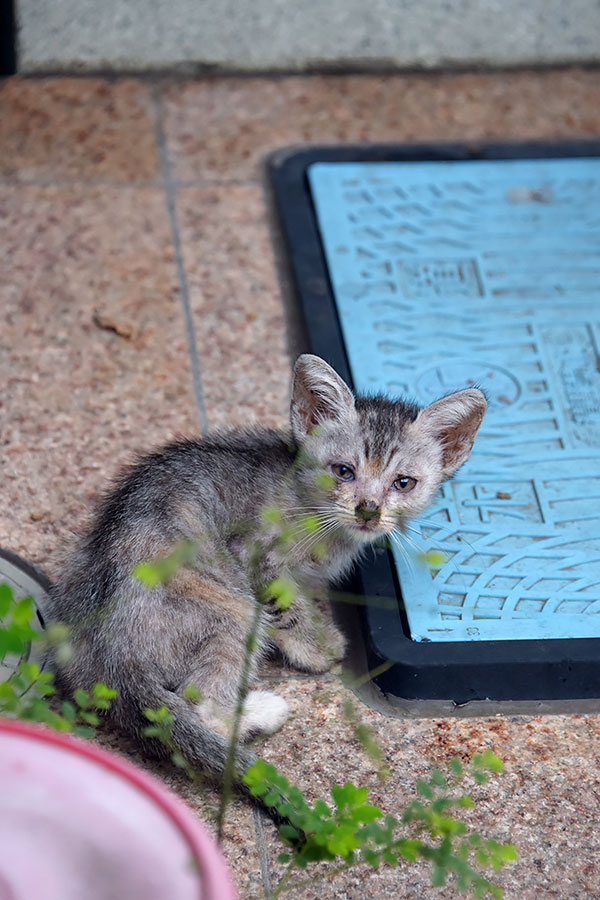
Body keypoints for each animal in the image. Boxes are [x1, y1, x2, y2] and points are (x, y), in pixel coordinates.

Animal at [48, 358, 488, 808]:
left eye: (403, 483)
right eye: (343, 471)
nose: (368, 510)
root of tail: (112, 658)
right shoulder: (252, 552)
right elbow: (286, 603)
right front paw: (317, 646)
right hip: (233, 608)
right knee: (202, 704)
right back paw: (261, 713)